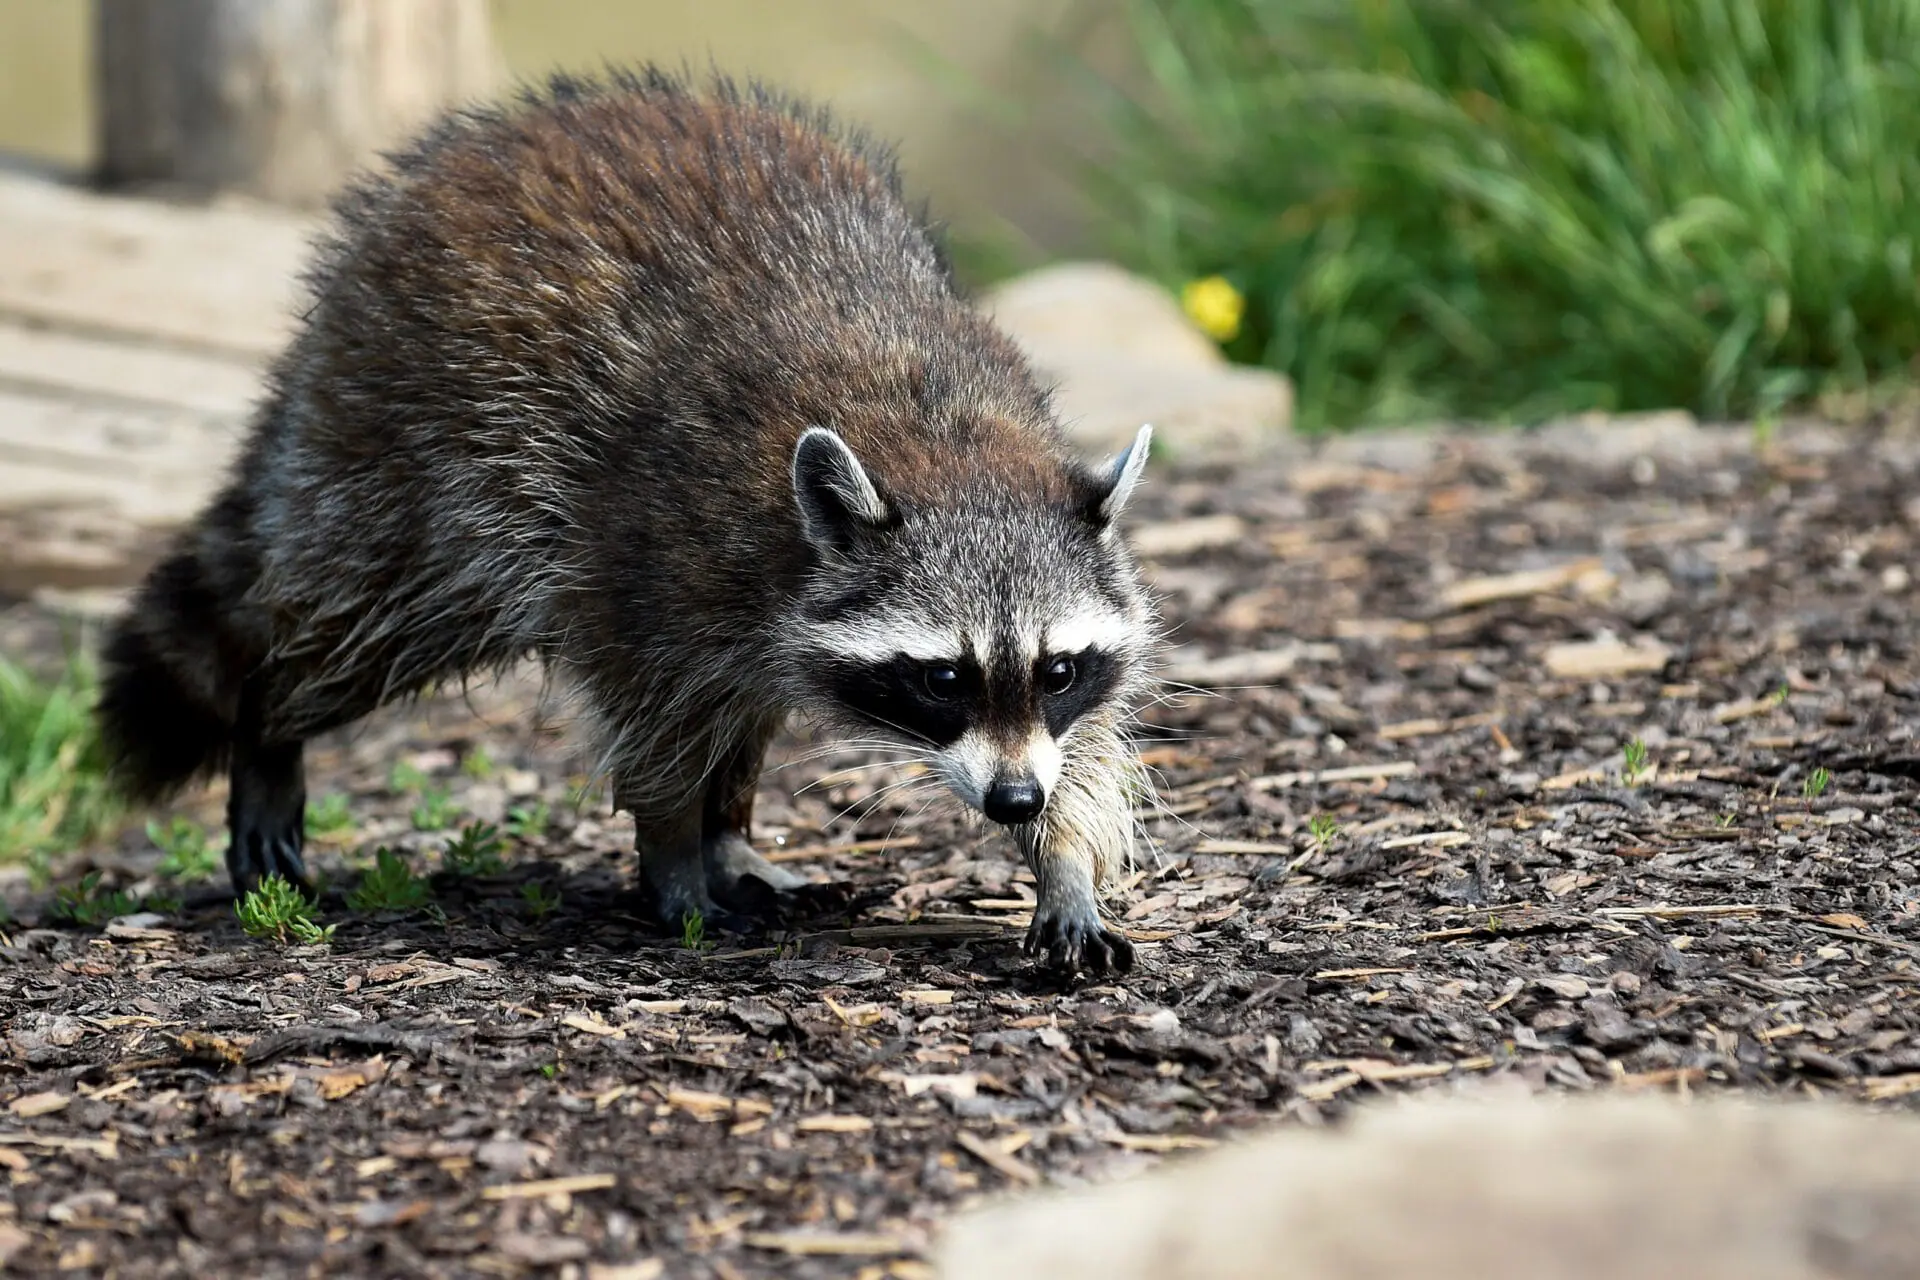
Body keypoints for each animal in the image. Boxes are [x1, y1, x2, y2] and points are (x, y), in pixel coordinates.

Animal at [93, 67, 1152, 971]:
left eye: (1058, 669)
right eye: (943, 677)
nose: (1013, 800)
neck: (942, 436)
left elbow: (1085, 747)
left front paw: (1065, 858)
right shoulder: (652, 548)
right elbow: (652, 721)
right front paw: (674, 851)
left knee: (741, 701)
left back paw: (734, 831)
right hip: (411, 460)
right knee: (362, 626)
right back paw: (269, 725)